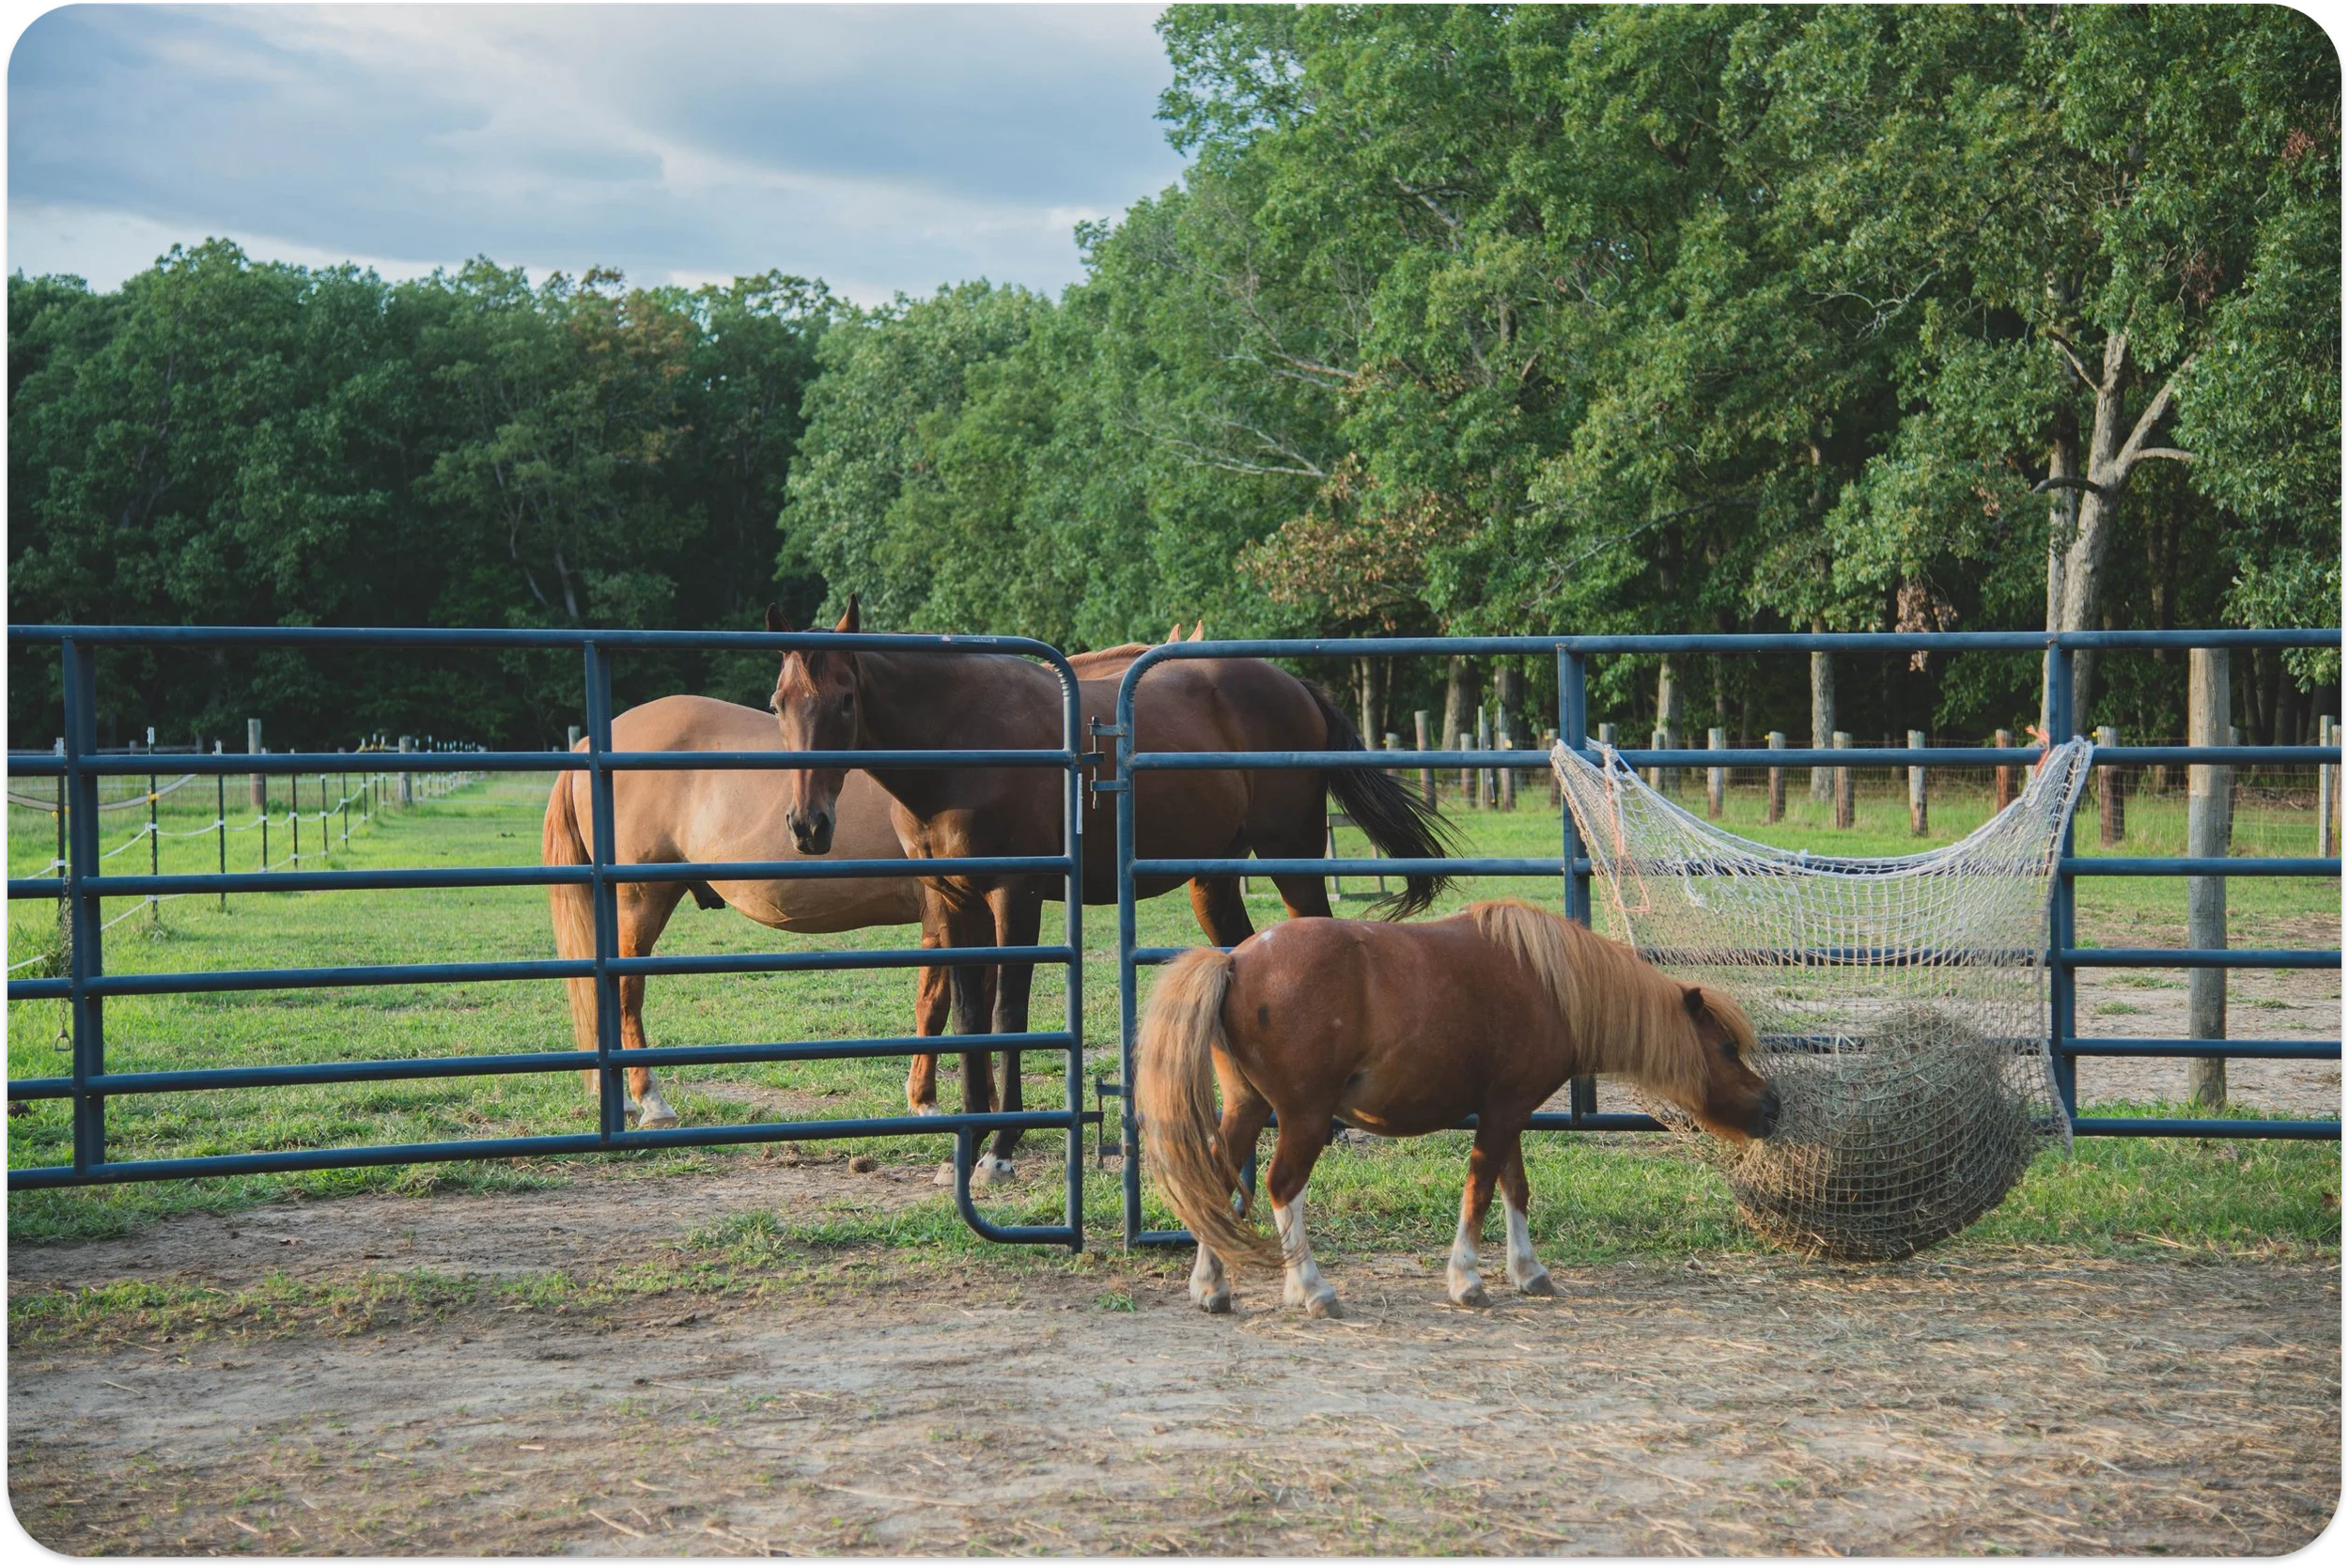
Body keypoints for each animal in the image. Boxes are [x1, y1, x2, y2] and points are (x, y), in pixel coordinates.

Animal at [542, 629, 1208, 1129]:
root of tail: (593, 744)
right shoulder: (947, 908)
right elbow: (938, 1004)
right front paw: (937, 1103)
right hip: (641, 900)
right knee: (625, 992)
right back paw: (650, 1100)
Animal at [762, 598, 1452, 1181]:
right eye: (778, 702)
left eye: (845, 699)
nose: (808, 824)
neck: (960, 739)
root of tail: (1294, 686)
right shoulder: (953, 901)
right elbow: (968, 1015)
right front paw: (971, 1135)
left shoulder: (1015, 896)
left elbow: (1007, 1013)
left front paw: (1000, 1148)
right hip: (1214, 881)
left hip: (1293, 857)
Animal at [1136, 899, 1779, 1318]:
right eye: (1727, 1048)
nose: (1771, 1106)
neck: (1550, 984)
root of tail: (1236, 961)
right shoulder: (1501, 1112)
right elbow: (1481, 1189)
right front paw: (1467, 1280)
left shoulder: (1510, 1109)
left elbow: (1515, 1189)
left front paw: (1529, 1272)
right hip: (1305, 1118)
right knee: (1281, 1186)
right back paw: (1312, 1290)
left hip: (1246, 1109)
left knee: (1215, 1184)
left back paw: (1212, 1288)